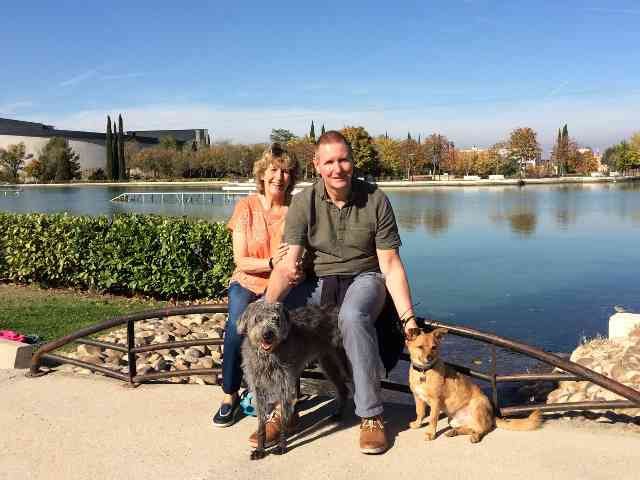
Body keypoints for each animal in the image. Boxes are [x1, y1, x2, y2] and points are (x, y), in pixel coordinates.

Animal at [238, 300, 350, 462]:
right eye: (257, 319)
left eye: (276, 319)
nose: (267, 335)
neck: (268, 356)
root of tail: (336, 309)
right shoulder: (259, 391)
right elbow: (261, 424)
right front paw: (260, 448)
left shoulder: (284, 386)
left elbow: (284, 418)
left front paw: (282, 445)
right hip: (328, 362)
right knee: (343, 388)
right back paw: (339, 413)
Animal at [404, 326, 540, 442]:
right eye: (420, 347)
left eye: (434, 347)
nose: (430, 358)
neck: (424, 371)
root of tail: (491, 416)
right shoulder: (418, 397)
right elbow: (420, 412)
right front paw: (417, 424)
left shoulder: (435, 401)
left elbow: (432, 419)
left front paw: (430, 434)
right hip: (452, 420)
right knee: (471, 428)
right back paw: (455, 432)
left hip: (477, 406)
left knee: (483, 429)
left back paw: (475, 437)